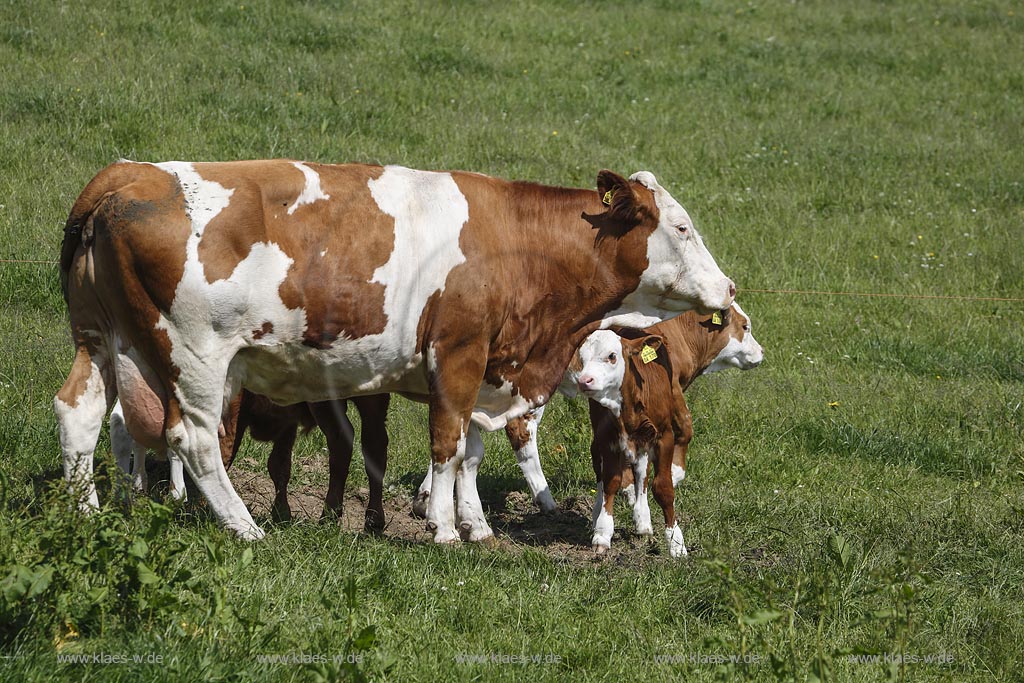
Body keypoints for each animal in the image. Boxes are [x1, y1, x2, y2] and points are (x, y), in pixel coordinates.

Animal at [56, 160, 733, 544]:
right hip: (194, 354)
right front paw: (444, 529)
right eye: (681, 228)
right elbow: (448, 444)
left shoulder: (482, 366)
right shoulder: (457, 352)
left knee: (79, 413)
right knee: (193, 439)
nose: (727, 288)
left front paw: (474, 524)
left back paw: (83, 515)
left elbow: (468, 451)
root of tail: (129, 173)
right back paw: (244, 529)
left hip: (98, 338)